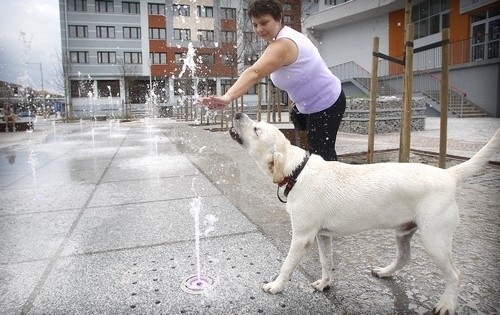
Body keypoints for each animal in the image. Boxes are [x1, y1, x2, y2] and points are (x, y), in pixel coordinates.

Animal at [229, 112, 498, 314]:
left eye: (256, 129)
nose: (237, 113)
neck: (298, 169)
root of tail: (448, 174)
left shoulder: (303, 237)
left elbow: (286, 266)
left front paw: (275, 286)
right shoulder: (322, 235)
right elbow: (327, 262)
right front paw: (325, 283)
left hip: (435, 240)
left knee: (455, 275)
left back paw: (447, 304)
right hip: (404, 232)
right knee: (404, 258)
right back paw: (385, 272)